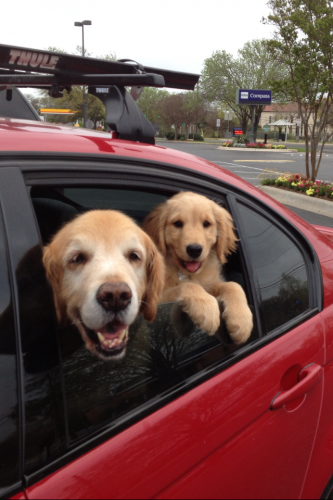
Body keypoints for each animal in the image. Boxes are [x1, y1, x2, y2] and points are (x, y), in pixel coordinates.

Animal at [142, 191, 252, 344]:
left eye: (206, 224)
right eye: (177, 223)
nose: (194, 249)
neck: (188, 273)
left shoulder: (210, 283)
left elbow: (233, 285)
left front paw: (241, 321)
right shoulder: (152, 301)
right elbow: (187, 285)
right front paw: (206, 308)